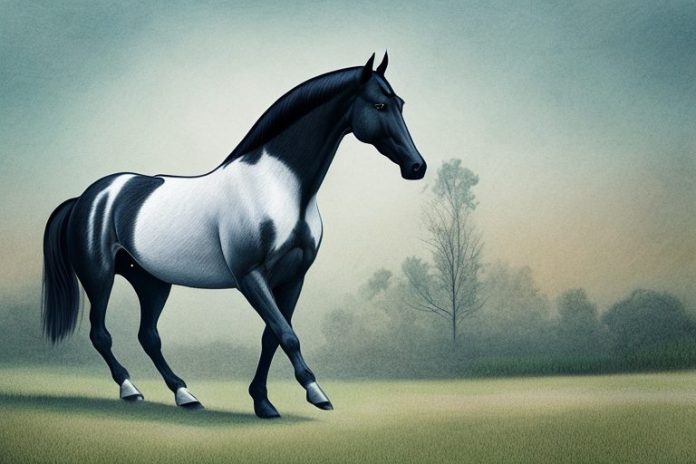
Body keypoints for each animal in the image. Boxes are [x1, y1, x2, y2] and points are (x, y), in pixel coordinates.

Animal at [41, 52, 426, 418]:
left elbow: (272, 336)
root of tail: (88, 197)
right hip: (99, 276)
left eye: (401, 103)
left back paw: (185, 395)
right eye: (379, 105)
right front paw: (315, 393)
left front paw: (263, 401)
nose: (417, 167)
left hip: (152, 281)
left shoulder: (293, 278)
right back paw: (129, 388)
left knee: (148, 336)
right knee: (101, 334)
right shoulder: (250, 276)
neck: (280, 188)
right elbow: (286, 335)